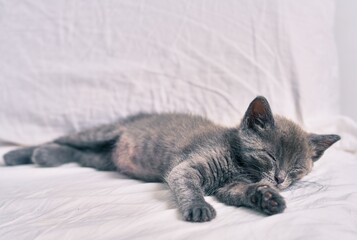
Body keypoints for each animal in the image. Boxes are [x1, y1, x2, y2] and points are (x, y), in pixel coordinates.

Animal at [3, 96, 340, 222]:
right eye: (270, 157)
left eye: (296, 170)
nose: (280, 180)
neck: (238, 164)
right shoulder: (187, 166)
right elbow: (187, 186)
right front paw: (199, 208)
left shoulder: (230, 187)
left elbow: (244, 193)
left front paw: (269, 199)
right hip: (101, 132)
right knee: (65, 139)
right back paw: (19, 154)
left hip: (104, 160)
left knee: (77, 153)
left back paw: (45, 156)